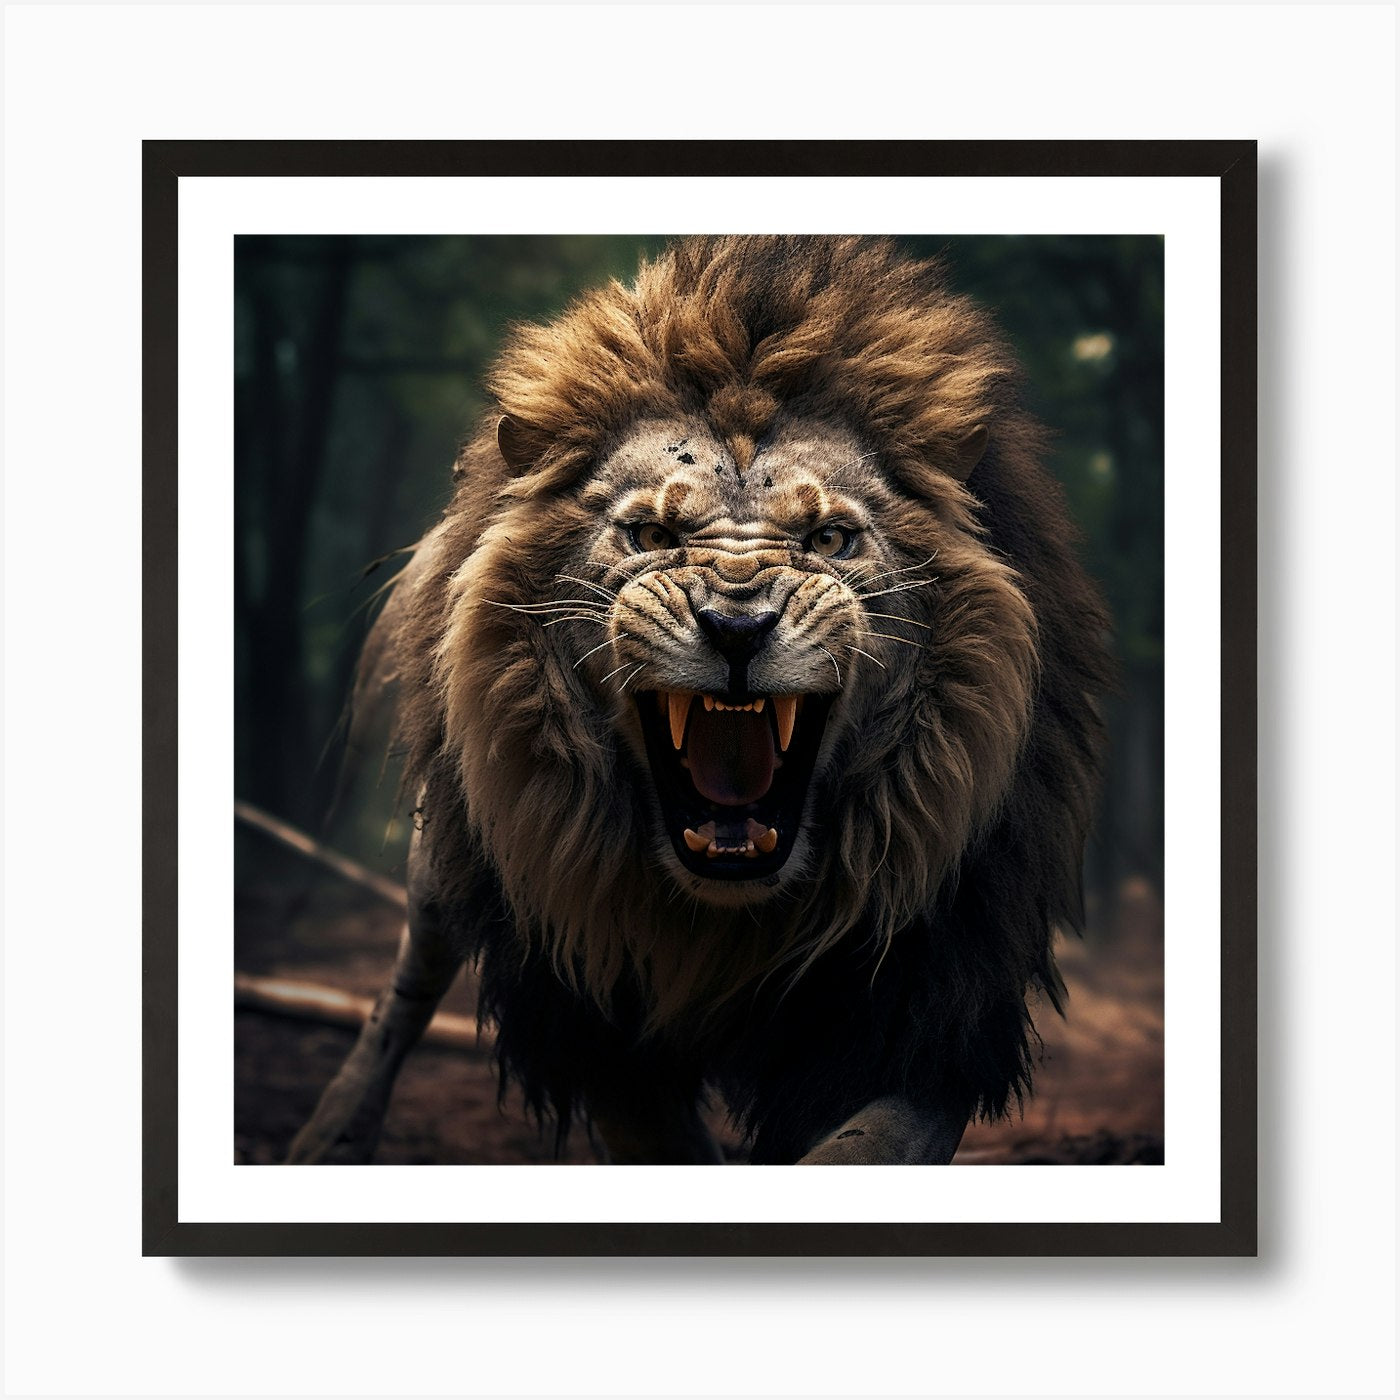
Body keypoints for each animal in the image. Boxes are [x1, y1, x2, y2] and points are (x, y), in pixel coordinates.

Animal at [287, 234, 1112, 1166]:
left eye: (830, 538)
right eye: (652, 534)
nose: (737, 624)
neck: (724, 924)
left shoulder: (930, 1006)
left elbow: (857, 1145)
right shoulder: (593, 1018)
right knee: (407, 983)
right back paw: (329, 1133)